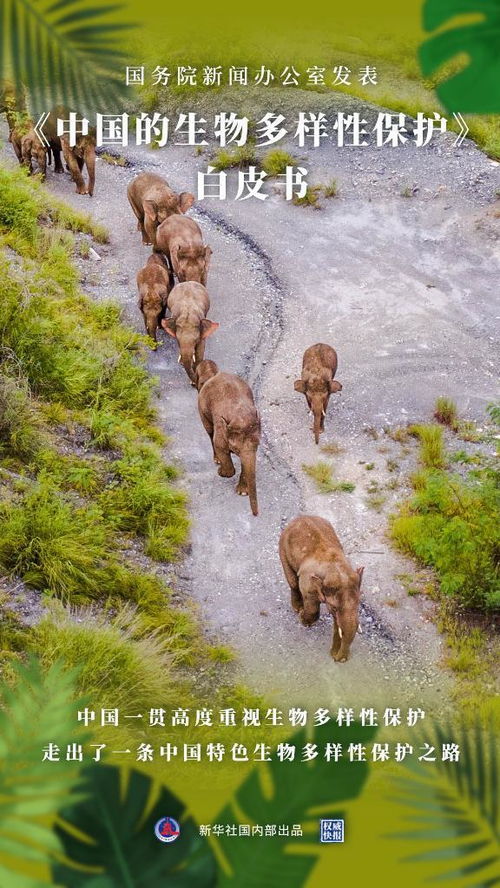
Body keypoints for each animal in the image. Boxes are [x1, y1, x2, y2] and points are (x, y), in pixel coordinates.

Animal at [194, 360, 262, 516]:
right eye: (235, 448)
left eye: (258, 445)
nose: (255, 514)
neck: (240, 416)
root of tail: (216, 375)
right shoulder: (221, 430)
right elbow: (219, 445)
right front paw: (222, 473)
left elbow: (246, 461)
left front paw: (242, 493)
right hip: (202, 408)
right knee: (209, 432)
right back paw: (217, 460)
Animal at [278, 512, 364, 660]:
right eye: (334, 608)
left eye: (359, 604)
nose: (339, 660)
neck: (335, 567)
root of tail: (300, 517)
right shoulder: (308, 583)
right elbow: (312, 606)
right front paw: (303, 618)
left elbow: (337, 623)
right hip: (282, 546)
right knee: (293, 581)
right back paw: (297, 608)